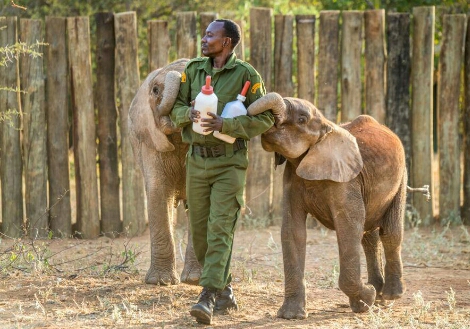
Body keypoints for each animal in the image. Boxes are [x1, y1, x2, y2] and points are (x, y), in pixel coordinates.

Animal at [248, 92, 406, 318]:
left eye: (302, 119)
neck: (326, 127)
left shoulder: (346, 180)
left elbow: (349, 228)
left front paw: (366, 298)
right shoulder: (292, 177)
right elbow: (292, 231)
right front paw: (291, 316)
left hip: (401, 177)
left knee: (391, 232)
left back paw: (390, 296)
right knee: (369, 237)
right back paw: (378, 294)